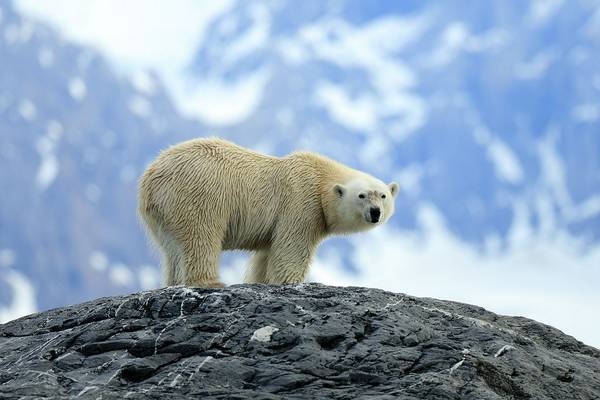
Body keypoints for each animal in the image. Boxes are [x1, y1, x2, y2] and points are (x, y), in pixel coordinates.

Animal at [138, 139, 396, 286]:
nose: (375, 212)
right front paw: (291, 282)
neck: (321, 177)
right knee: (200, 236)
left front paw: (260, 280)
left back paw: (173, 283)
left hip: (163, 214)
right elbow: (291, 248)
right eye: (362, 195)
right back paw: (210, 283)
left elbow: (266, 254)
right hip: (198, 193)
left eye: (383, 195)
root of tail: (151, 178)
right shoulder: (301, 203)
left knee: (173, 248)